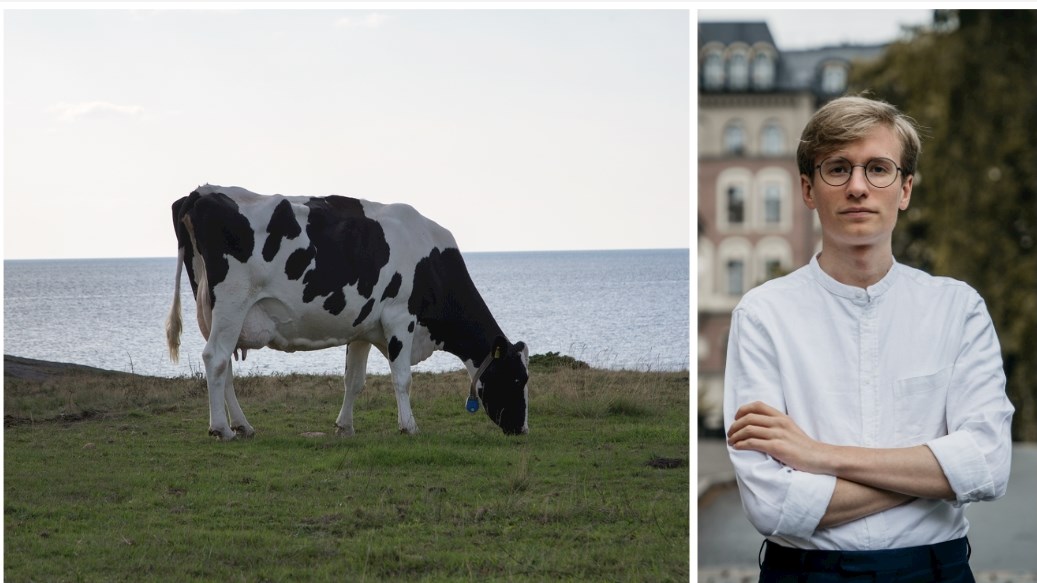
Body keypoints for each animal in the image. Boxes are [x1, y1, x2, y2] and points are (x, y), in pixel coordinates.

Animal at [167, 183, 535, 437]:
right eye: (519, 378)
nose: (522, 429)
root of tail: (201, 192)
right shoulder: (400, 317)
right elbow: (402, 378)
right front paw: (409, 426)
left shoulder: (363, 326)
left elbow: (353, 380)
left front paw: (345, 426)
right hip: (232, 302)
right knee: (215, 358)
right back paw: (221, 429)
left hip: (214, 311)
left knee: (224, 365)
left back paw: (242, 426)